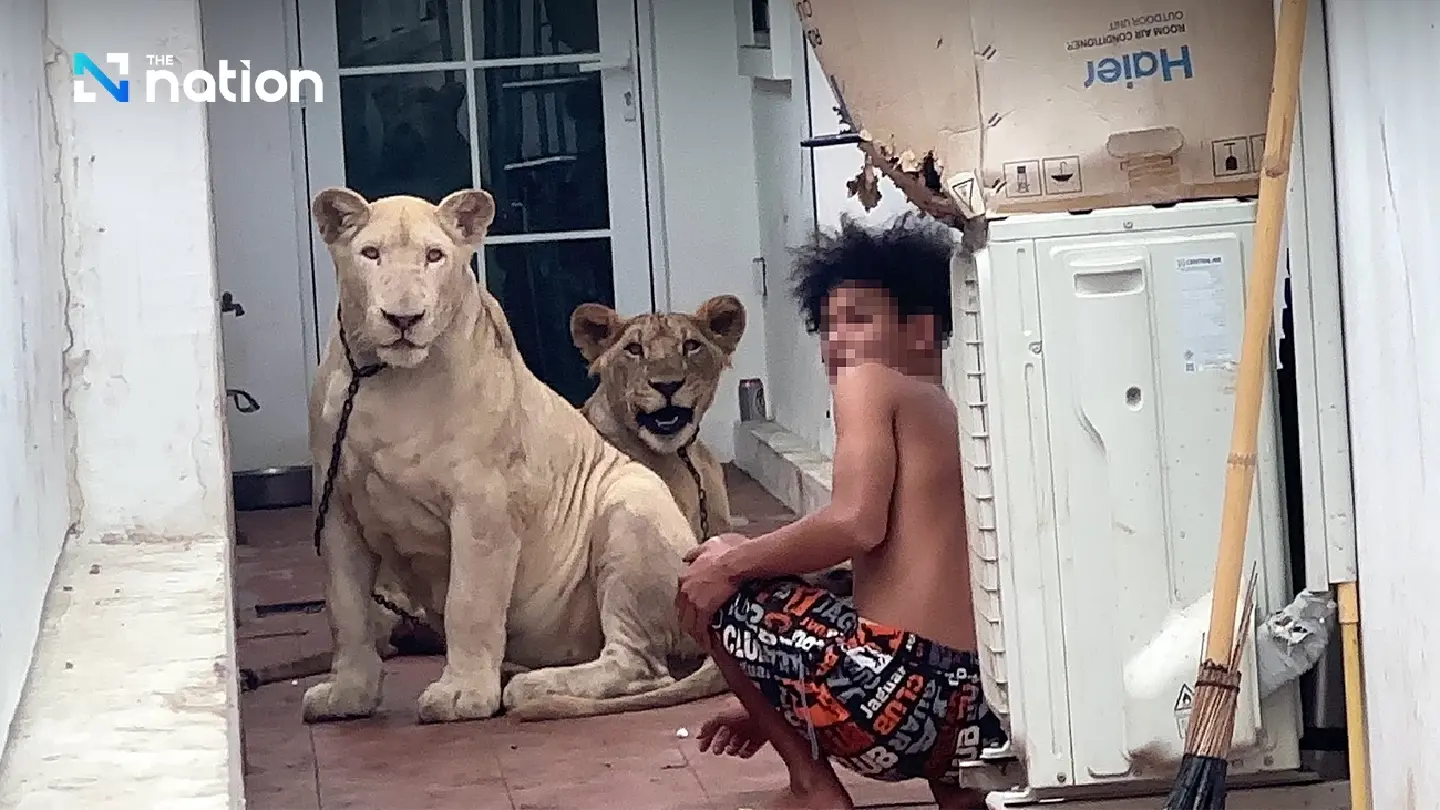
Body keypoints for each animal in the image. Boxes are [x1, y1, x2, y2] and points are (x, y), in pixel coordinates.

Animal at [301, 186, 724, 724]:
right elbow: (347, 609)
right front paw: (347, 695)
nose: (403, 319)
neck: (384, 379)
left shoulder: (484, 506)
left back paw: (531, 685)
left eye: (434, 256)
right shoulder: (336, 510)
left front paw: (463, 695)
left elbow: (470, 602)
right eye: (370, 254)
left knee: (640, 665)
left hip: (632, 505)